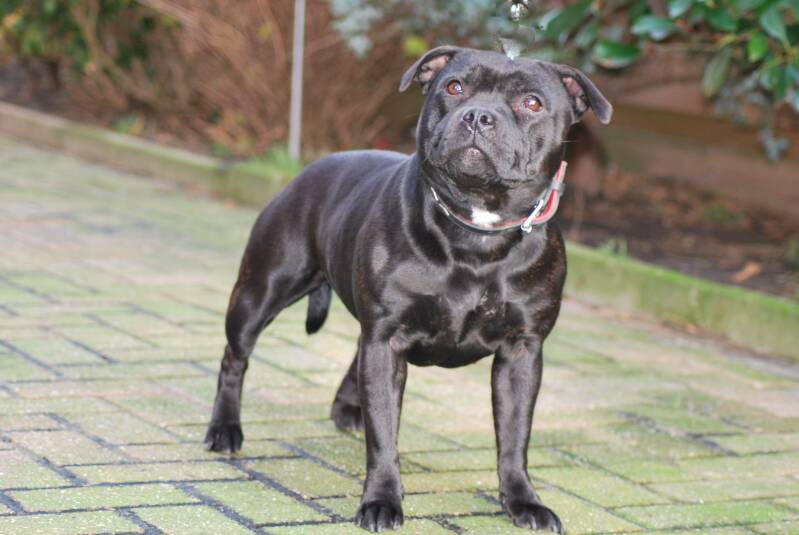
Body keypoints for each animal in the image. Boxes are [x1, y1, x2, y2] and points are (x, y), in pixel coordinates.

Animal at [205, 45, 612, 532]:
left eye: (532, 102)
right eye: (454, 87)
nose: (478, 116)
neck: (476, 233)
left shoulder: (521, 352)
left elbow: (515, 436)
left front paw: (522, 500)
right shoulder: (386, 338)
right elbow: (384, 434)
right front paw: (381, 499)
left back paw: (347, 407)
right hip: (260, 291)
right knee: (235, 357)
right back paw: (224, 429)